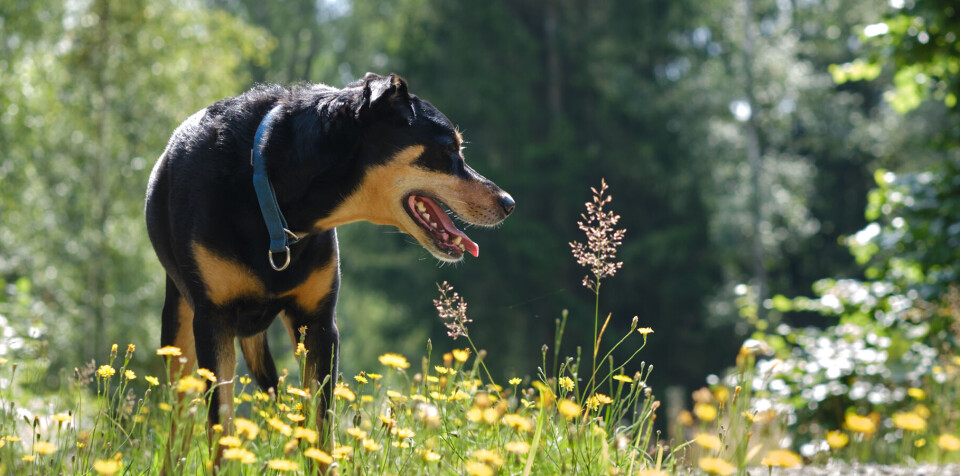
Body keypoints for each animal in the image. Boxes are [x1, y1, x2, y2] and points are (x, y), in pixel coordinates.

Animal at [144, 71, 510, 454]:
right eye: (449, 149)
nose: (509, 203)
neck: (271, 189)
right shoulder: (213, 322)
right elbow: (222, 428)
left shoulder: (319, 323)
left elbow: (320, 430)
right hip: (180, 331)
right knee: (178, 429)